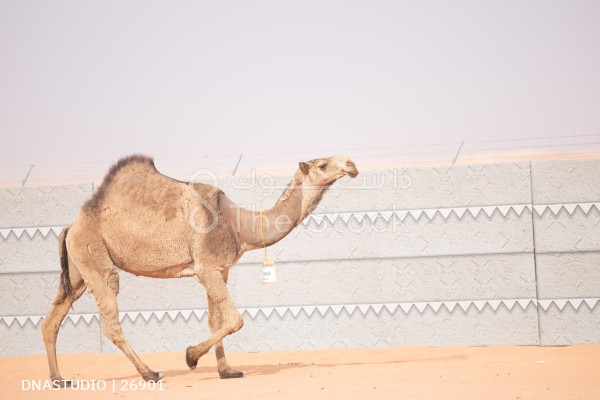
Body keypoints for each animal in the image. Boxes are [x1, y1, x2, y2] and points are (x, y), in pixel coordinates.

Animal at [42, 154, 358, 384]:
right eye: (322, 164)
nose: (351, 165)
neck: (239, 225)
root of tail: (70, 227)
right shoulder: (205, 268)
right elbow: (235, 319)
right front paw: (191, 356)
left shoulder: (220, 269)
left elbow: (217, 321)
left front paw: (227, 371)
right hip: (94, 255)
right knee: (110, 318)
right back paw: (150, 373)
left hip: (78, 270)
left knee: (52, 320)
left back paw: (59, 379)